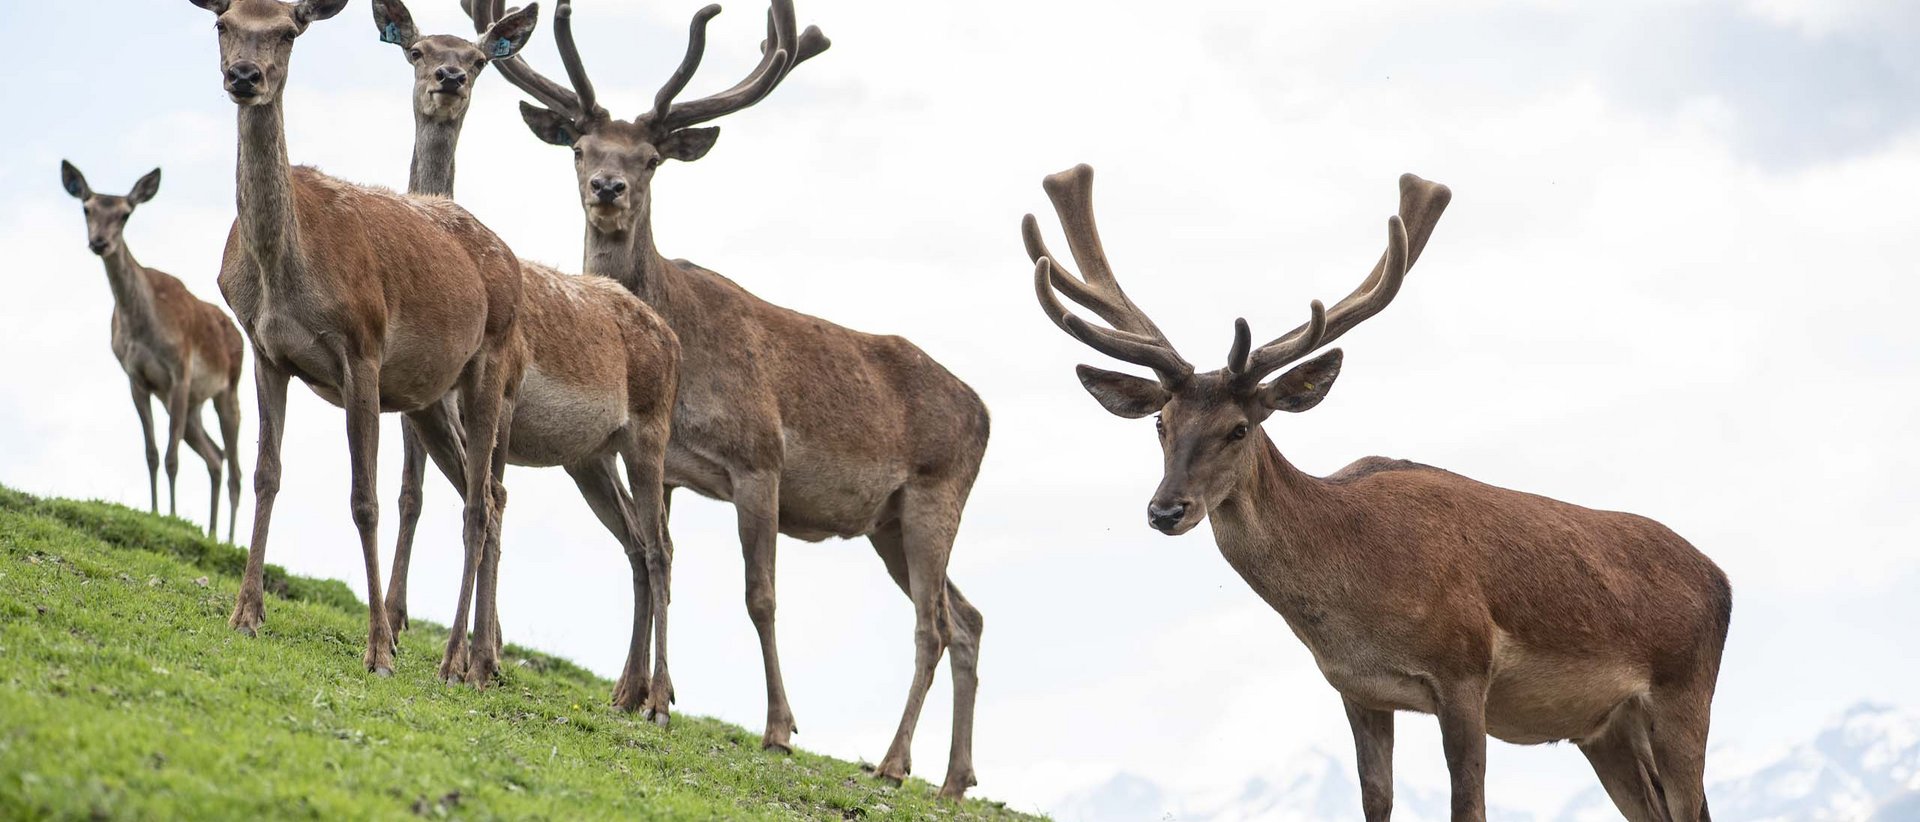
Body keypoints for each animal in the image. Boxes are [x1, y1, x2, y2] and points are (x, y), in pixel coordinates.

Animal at [60, 161, 245, 543]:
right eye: (87, 208)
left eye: (125, 214)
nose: (99, 242)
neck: (143, 327)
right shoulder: (137, 379)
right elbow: (152, 451)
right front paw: (157, 510)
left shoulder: (180, 372)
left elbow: (172, 455)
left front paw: (171, 516)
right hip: (191, 407)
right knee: (215, 456)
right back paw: (210, 532)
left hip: (227, 391)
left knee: (235, 467)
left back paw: (231, 539)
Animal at [184, 0, 527, 683]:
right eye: (222, 23)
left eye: (289, 30)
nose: (244, 76)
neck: (283, 274)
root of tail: (513, 262)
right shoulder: (265, 353)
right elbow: (265, 473)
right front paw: (245, 613)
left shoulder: (362, 350)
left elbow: (364, 498)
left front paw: (381, 648)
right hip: (429, 398)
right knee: (487, 494)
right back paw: (482, 660)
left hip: (491, 362)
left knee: (480, 503)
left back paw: (455, 659)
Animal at [367, 0, 682, 719]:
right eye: (418, 50)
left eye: (478, 59)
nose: (450, 77)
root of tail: (670, 334)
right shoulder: (421, 406)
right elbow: (418, 494)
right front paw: (410, 630)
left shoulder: (495, 402)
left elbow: (488, 500)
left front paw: (476, 658)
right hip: (591, 457)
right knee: (634, 540)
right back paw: (627, 691)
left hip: (649, 437)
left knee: (659, 546)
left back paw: (657, 698)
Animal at [467, 0, 990, 798]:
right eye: (581, 149)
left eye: (649, 159)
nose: (609, 189)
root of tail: (986, 412)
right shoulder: (668, 464)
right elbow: (650, 558)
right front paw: (630, 693)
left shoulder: (759, 463)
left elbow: (759, 595)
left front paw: (778, 728)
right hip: (888, 524)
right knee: (967, 616)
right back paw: (955, 778)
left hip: (937, 497)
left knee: (931, 624)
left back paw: (894, 763)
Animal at [1025, 164, 1732, 822]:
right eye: (1160, 424)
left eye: (1239, 428)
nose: (1166, 509)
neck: (1357, 595)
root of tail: (1721, 580)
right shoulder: (1356, 690)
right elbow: (1376, 800)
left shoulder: (1465, 668)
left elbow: (1468, 804)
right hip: (1605, 729)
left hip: (1684, 694)